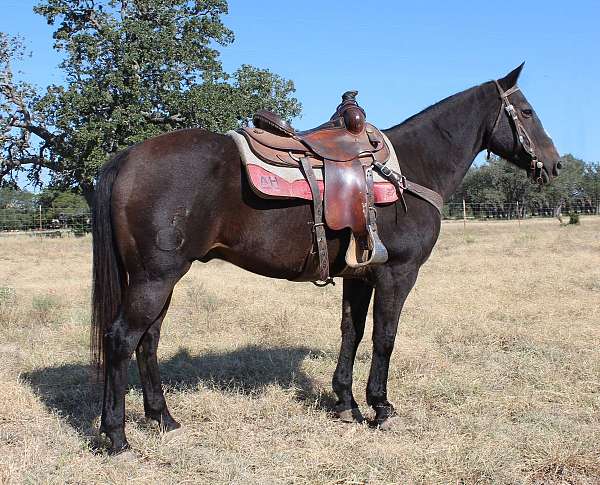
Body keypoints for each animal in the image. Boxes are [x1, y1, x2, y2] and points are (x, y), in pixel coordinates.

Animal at [90, 63, 564, 450]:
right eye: (526, 112)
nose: (556, 164)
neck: (410, 170)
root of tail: (128, 156)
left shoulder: (359, 275)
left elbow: (351, 333)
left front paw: (346, 404)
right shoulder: (397, 274)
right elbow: (384, 338)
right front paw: (381, 407)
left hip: (162, 278)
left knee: (148, 340)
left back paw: (163, 419)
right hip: (155, 278)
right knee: (122, 339)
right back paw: (116, 435)